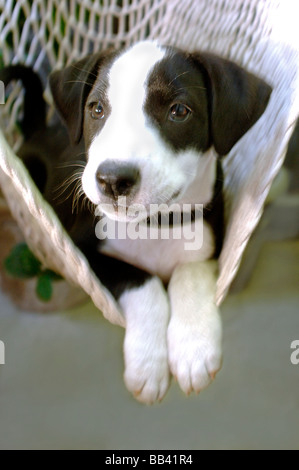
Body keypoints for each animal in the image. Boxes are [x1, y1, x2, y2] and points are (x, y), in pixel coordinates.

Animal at [50, 41, 274, 404]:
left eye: (178, 111)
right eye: (97, 109)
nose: (113, 179)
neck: (155, 225)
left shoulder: (213, 246)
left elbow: (188, 273)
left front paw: (194, 349)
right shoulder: (82, 254)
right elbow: (143, 279)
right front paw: (148, 364)